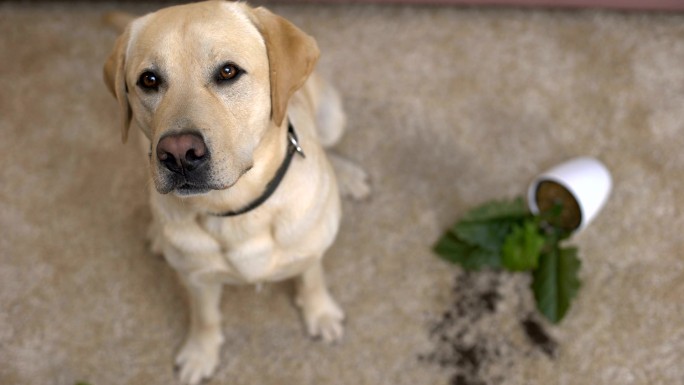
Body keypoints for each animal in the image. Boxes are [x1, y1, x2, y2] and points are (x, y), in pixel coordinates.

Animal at [102, 1, 368, 382]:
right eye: (149, 80)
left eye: (228, 72)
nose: (179, 154)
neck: (235, 209)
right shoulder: (197, 280)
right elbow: (205, 317)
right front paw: (201, 352)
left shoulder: (311, 250)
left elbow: (312, 279)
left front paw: (321, 313)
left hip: (333, 116)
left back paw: (346, 175)